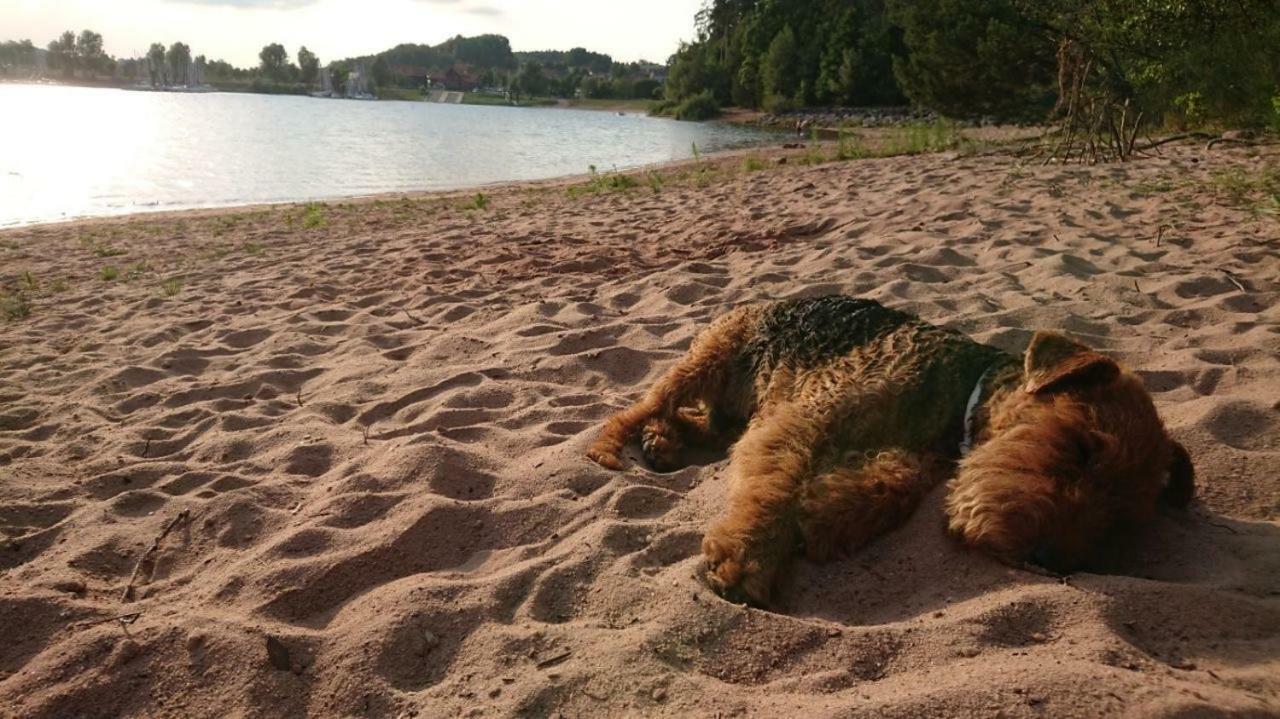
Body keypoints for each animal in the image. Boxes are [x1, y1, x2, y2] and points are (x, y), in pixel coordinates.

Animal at [586, 295, 1192, 603]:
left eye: (1122, 516)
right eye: (1079, 446)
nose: (1046, 559)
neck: (958, 392)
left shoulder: (905, 452)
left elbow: (891, 484)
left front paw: (824, 517)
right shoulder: (804, 420)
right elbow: (775, 487)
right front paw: (747, 560)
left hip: (739, 405)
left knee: (705, 427)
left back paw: (664, 442)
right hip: (709, 358)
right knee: (642, 406)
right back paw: (612, 449)